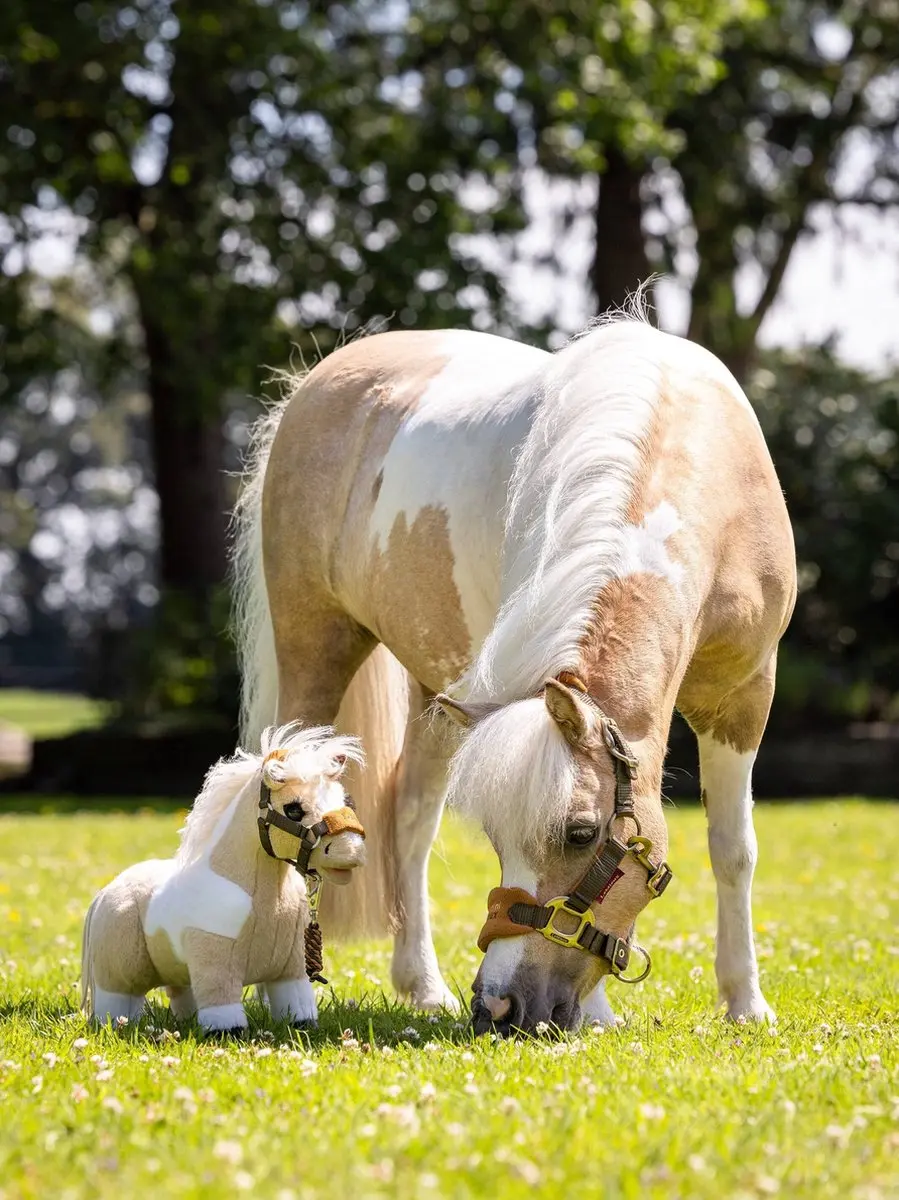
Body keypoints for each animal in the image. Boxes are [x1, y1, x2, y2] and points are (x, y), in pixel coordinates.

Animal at [80, 723, 365, 1033]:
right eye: (293, 809)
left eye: (345, 800)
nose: (352, 851)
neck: (265, 899)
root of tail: (104, 893)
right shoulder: (216, 964)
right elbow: (223, 1009)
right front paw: (226, 1032)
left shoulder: (290, 970)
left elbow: (297, 1007)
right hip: (118, 975)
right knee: (119, 1002)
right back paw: (116, 1025)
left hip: (178, 969)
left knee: (181, 992)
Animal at [232, 302, 796, 1034]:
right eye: (499, 839)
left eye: (580, 834)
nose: (500, 1008)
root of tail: (317, 382)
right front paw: (602, 1014)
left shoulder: (742, 697)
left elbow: (733, 850)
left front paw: (745, 1003)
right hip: (315, 649)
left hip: (439, 693)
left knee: (409, 822)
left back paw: (422, 986)